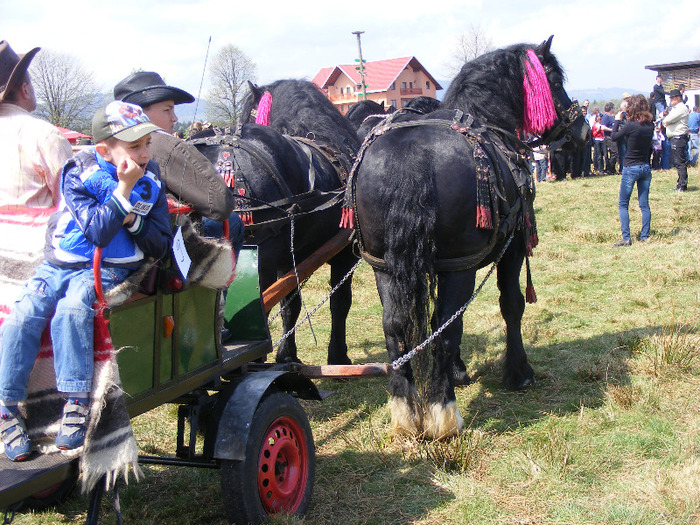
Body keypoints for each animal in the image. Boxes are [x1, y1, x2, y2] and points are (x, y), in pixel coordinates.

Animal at [216, 80, 360, 364]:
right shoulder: (344, 255)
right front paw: (337, 355)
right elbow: (339, 301)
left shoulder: (289, 259)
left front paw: (286, 354)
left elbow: (289, 305)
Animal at [350, 37, 592, 438]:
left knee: (397, 327)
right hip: (458, 266)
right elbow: (511, 305)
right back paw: (443, 413)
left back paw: (406, 411)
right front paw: (519, 372)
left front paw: (459, 371)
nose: (583, 131)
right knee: (443, 326)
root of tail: (411, 155)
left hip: (383, 266)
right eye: (555, 80)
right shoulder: (508, 249)